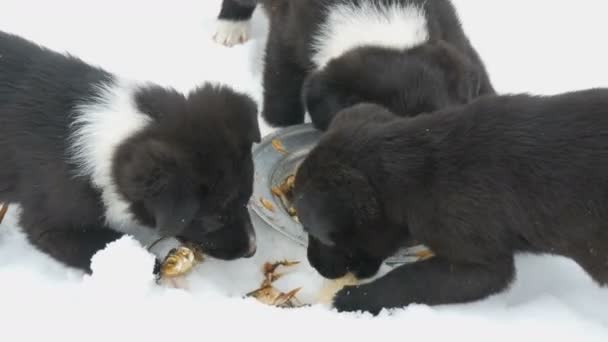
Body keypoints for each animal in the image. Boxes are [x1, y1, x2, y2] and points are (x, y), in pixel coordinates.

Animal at [0, 30, 258, 274]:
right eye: (216, 218)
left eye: (248, 198)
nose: (253, 250)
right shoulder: (54, 220)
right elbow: (97, 246)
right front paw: (145, 265)